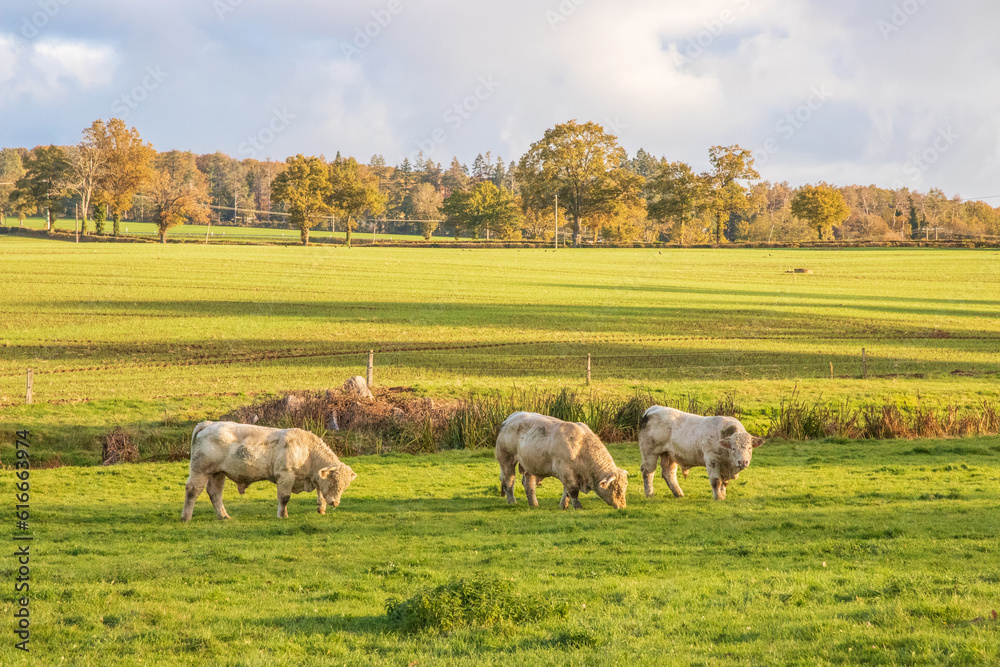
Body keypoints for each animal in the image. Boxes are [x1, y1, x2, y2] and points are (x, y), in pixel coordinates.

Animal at [182, 421, 357, 520]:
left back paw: (224, 516)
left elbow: (320, 493)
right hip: (200, 469)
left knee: (215, 493)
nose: (335, 502)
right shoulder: (286, 475)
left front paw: (321, 508)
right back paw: (186, 517)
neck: (307, 452)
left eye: (344, 486)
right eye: (334, 482)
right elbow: (284, 498)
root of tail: (208, 424)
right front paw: (282, 515)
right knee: (192, 490)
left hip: (217, 473)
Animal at [496, 411, 628, 509]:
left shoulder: (569, 475)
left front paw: (564, 505)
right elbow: (573, 491)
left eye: (625, 487)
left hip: (531, 463)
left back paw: (534, 504)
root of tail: (511, 417)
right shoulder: (566, 471)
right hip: (506, 459)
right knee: (509, 481)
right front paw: (577, 507)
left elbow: (567, 492)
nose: (622, 506)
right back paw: (512, 501)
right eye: (616, 489)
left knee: (528, 483)